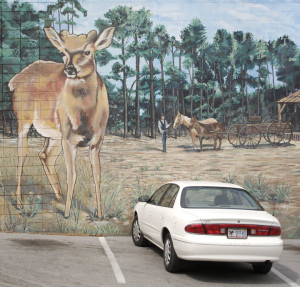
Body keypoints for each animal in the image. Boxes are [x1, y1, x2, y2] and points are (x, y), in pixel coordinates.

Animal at [8, 26, 115, 218]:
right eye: (63, 52)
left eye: (88, 51)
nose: (70, 69)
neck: (86, 118)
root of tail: (14, 80)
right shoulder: (69, 138)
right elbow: (72, 174)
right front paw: (66, 213)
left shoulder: (97, 139)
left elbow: (97, 175)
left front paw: (100, 214)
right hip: (24, 118)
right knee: (22, 154)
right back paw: (20, 203)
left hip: (54, 134)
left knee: (44, 155)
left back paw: (59, 196)